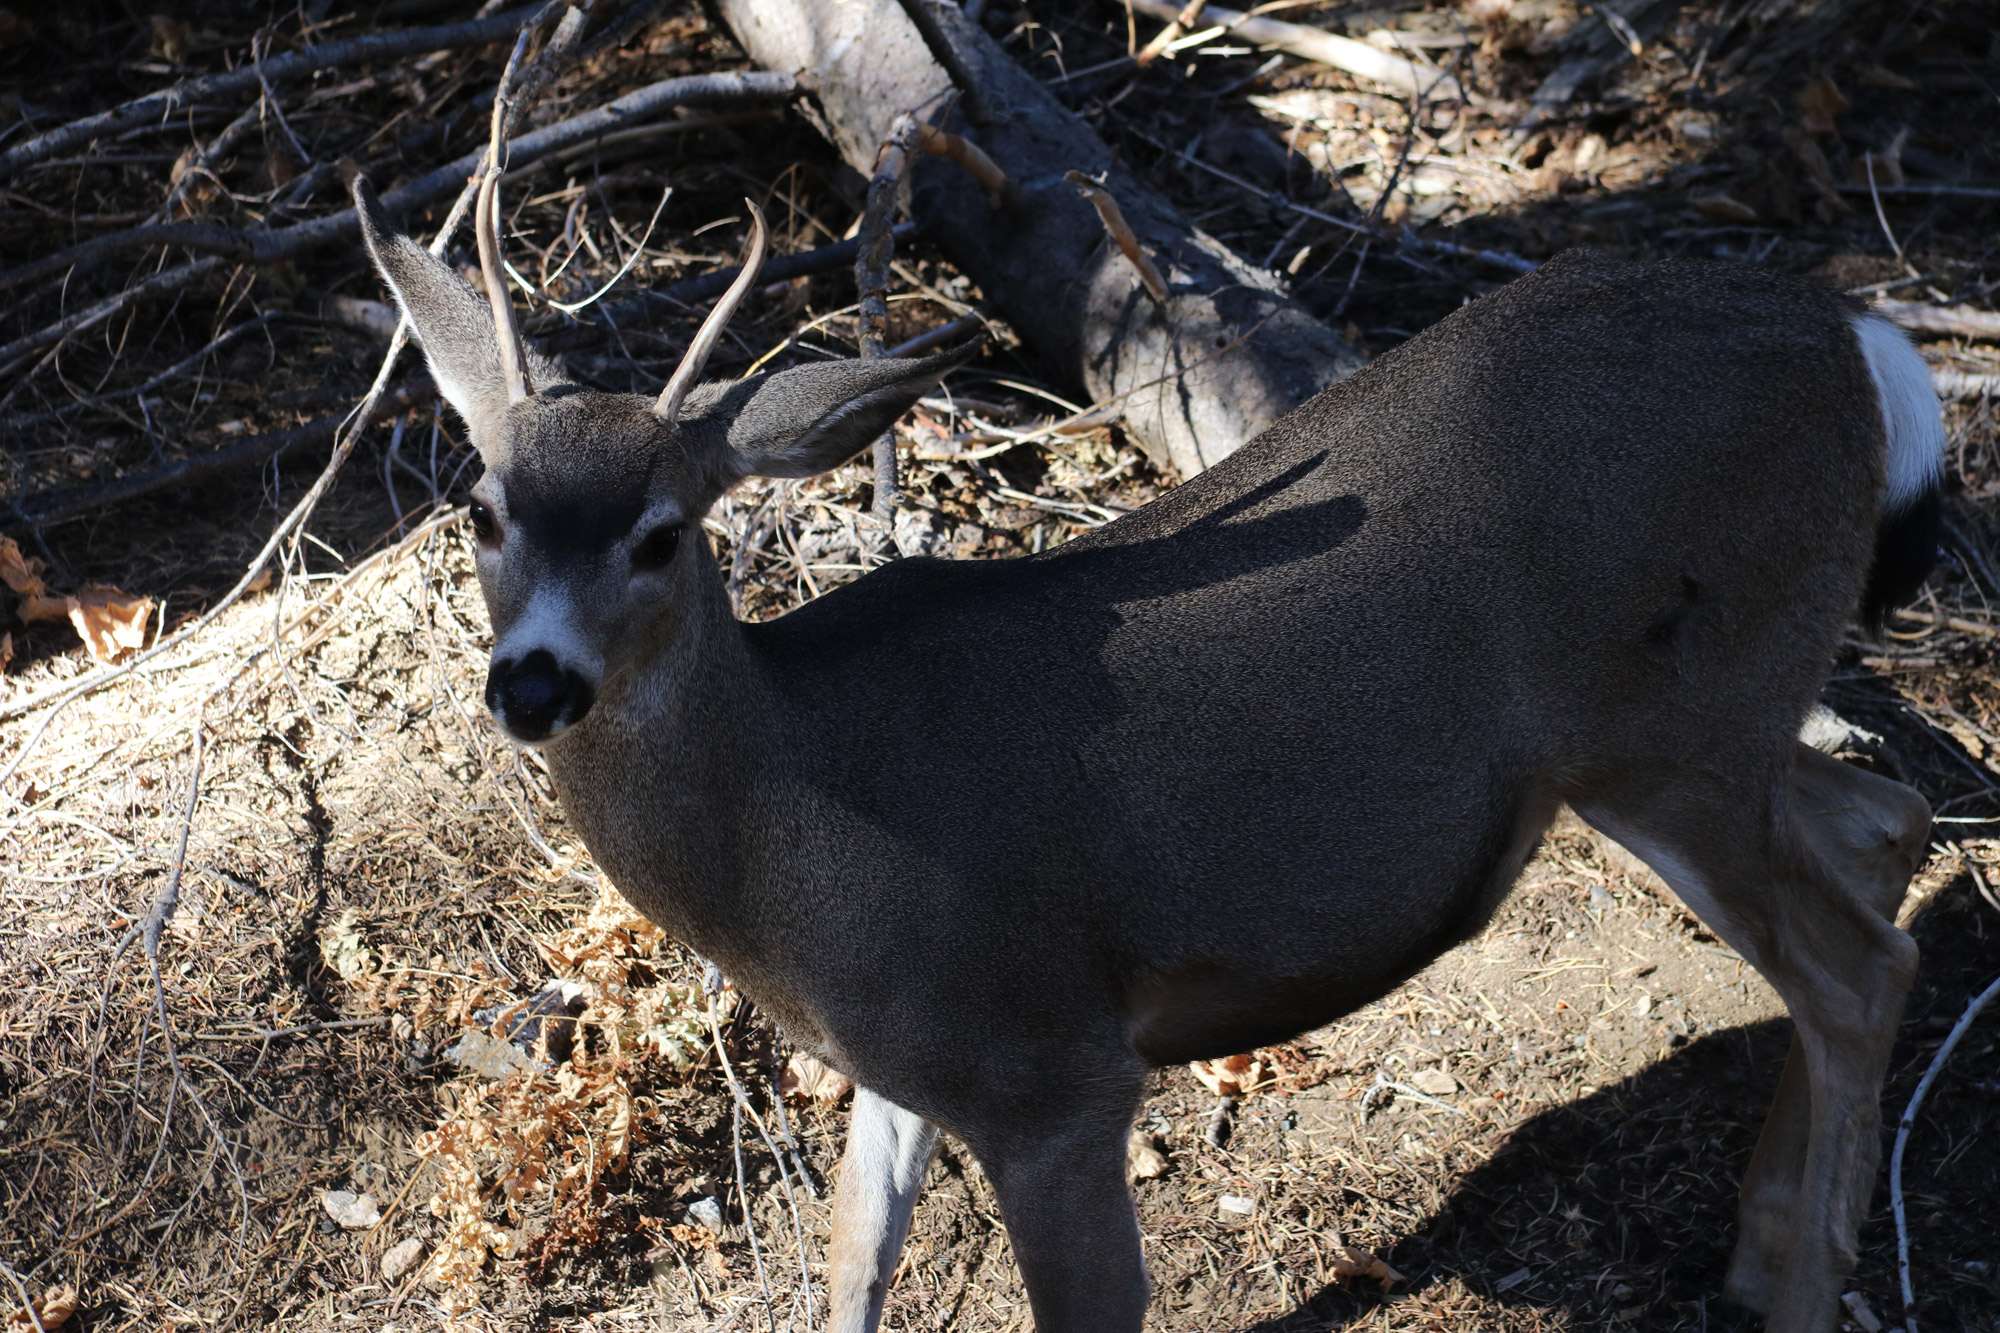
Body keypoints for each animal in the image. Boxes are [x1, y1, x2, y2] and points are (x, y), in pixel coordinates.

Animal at [352, 143, 1944, 1328]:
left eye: (662, 533)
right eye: (479, 507)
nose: (535, 685)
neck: (793, 839)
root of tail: (1850, 332)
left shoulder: (1051, 1067)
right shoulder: (901, 1062)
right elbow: (853, 1265)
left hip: (1670, 726)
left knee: (1856, 959)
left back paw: (1799, 1282)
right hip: (1705, 727)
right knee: (1886, 832)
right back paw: (1762, 1252)